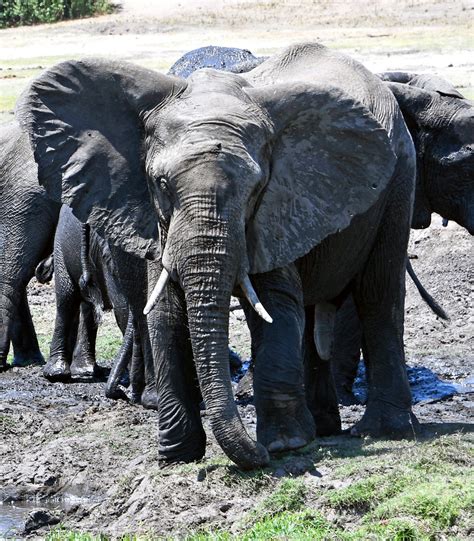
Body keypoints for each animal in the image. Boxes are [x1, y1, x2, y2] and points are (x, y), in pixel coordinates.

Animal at [17, 43, 418, 468]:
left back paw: (382, 430)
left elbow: (276, 305)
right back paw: (324, 429)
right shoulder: (155, 218)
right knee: (316, 312)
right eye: (161, 183)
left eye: (255, 187)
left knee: (378, 296)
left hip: (400, 177)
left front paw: (284, 446)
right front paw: (176, 455)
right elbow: (166, 312)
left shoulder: (277, 207)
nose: (258, 453)